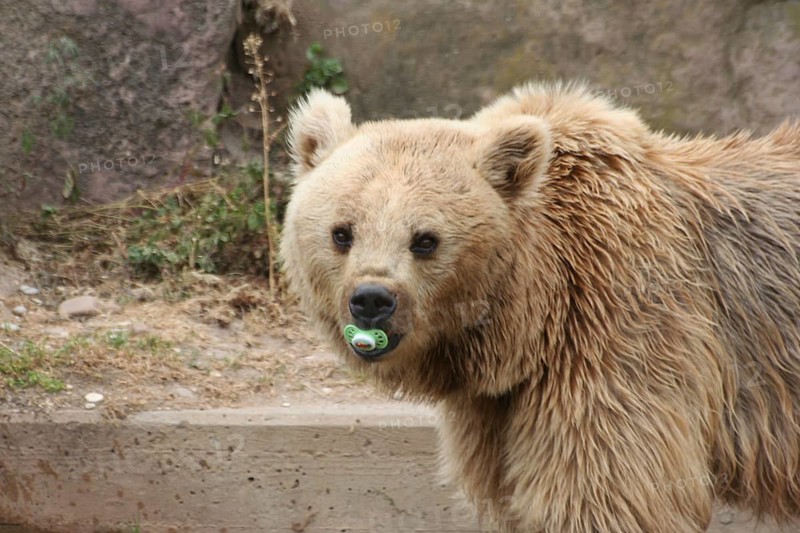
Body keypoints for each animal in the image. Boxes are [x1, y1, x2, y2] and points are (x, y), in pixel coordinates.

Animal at [279, 82, 800, 532]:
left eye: (425, 240)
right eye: (341, 232)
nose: (371, 300)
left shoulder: (618, 332)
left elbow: (605, 491)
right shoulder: (497, 407)